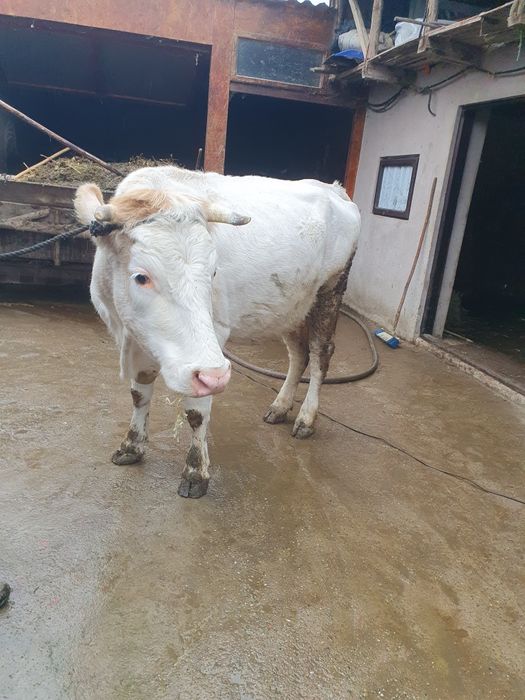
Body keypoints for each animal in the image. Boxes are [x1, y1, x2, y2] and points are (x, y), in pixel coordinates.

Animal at [74, 166, 360, 498]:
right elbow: (139, 393)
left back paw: (306, 418)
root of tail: (334, 189)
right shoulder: (140, 337)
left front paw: (195, 472)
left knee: (319, 353)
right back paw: (280, 407)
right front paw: (132, 445)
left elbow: (196, 411)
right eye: (140, 277)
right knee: (298, 352)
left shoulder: (213, 344)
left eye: (212, 272)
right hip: (292, 304)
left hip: (331, 291)